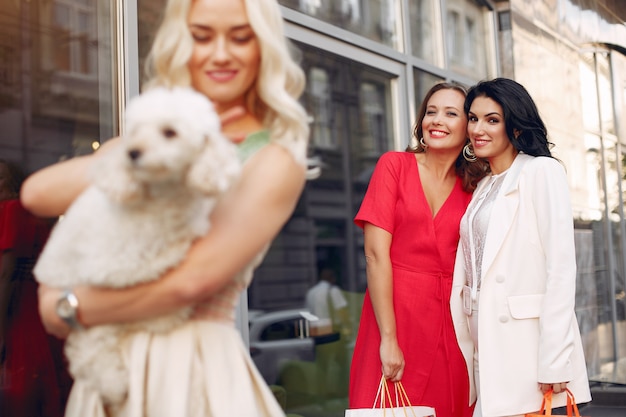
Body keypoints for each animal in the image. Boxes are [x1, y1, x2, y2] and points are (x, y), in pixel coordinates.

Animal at [33, 86, 241, 408]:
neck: (162, 200)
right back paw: (114, 381)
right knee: (91, 346)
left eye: (169, 132)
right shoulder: (113, 267)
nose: (132, 153)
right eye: (133, 133)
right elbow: (159, 262)